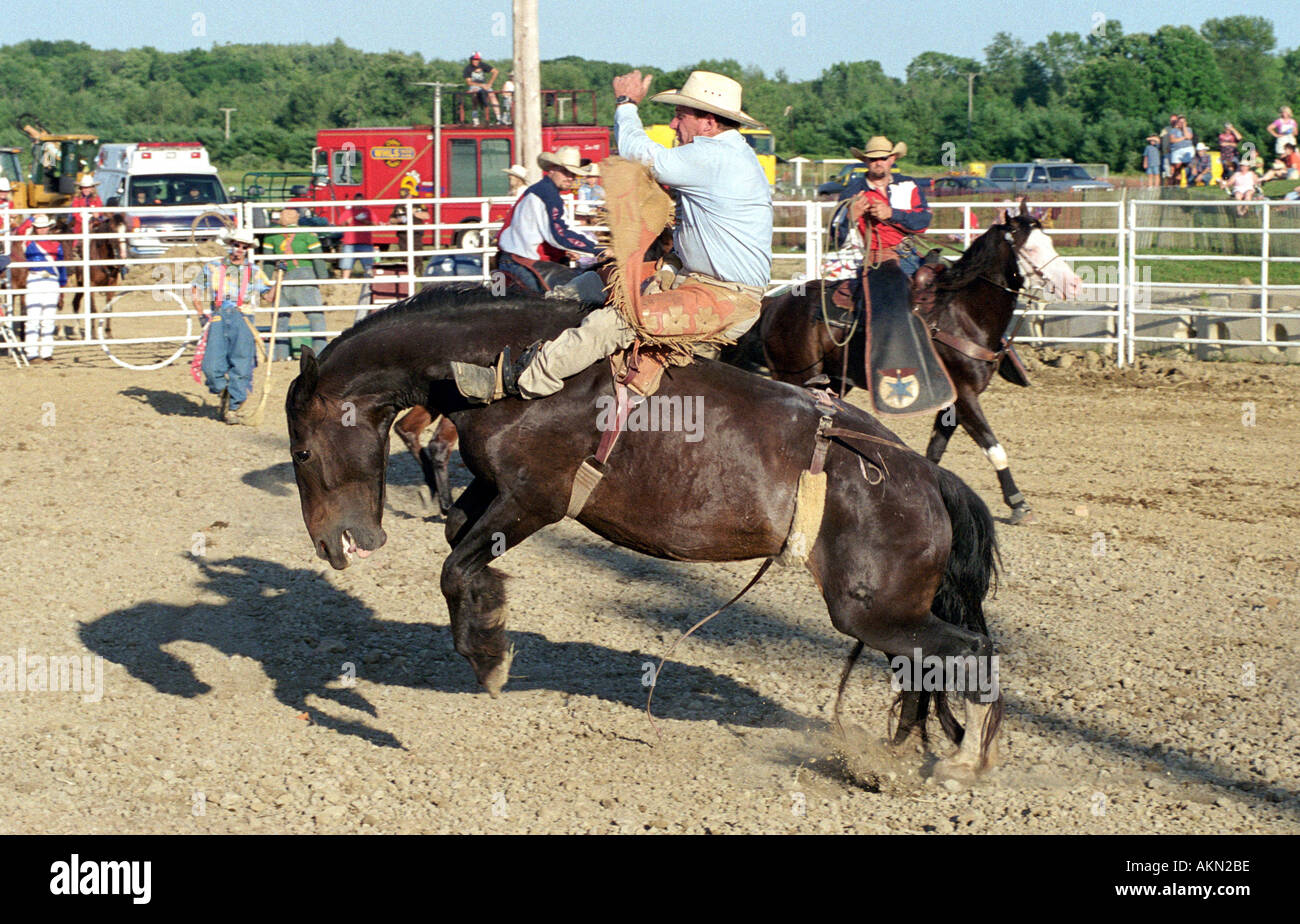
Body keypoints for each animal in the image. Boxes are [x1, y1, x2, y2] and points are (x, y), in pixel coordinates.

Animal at [284, 286, 1005, 779]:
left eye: (302, 450)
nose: (333, 544)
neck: (500, 366)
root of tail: (924, 475)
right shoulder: (496, 489)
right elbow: (460, 538)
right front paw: (492, 616)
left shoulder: (536, 498)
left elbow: (454, 564)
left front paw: (488, 658)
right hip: (887, 612)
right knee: (924, 667)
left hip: (869, 609)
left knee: (971, 652)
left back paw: (962, 765)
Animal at [739, 205, 1083, 524]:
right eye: (1031, 247)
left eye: (1049, 240)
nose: (1074, 284)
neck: (962, 314)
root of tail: (775, 302)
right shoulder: (964, 394)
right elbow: (993, 446)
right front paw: (1017, 502)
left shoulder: (952, 402)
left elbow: (935, 451)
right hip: (797, 375)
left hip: (832, 381)